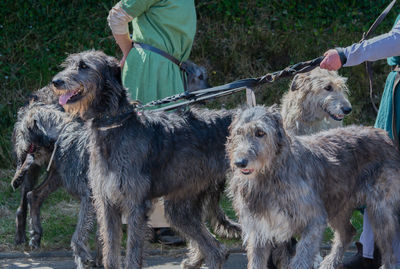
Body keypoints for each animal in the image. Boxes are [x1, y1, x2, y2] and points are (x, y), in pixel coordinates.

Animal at [51, 50, 242, 268]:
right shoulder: (107, 204)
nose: (55, 81)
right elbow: (110, 250)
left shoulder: (135, 204)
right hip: (180, 206)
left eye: (84, 66)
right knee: (216, 250)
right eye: (69, 64)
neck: (114, 124)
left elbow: (133, 251)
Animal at [227, 105, 400, 268]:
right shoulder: (260, 228)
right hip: (337, 203)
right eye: (238, 133)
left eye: (260, 132)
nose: (240, 162)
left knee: (390, 247)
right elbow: (256, 261)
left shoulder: (313, 220)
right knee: (348, 232)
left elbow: (301, 258)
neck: (269, 175)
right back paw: (331, 262)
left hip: (380, 209)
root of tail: (385, 135)